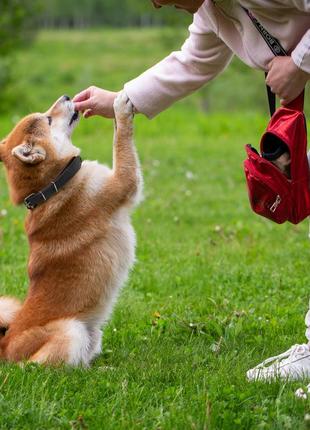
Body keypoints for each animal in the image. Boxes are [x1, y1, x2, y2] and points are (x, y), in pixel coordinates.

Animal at [0, 91, 143, 366]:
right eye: (47, 119)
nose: (67, 96)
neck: (54, 184)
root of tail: (3, 346)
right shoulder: (124, 181)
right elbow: (120, 141)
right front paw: (120, 108)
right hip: (71, 330)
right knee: (39, 366)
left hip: (92, 334)